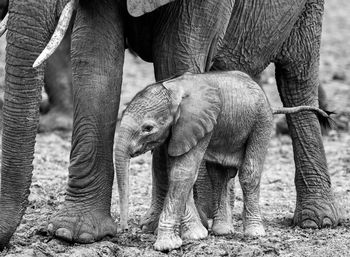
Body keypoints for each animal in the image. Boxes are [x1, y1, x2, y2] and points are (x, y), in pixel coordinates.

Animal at [115, 70, 330, 250]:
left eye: (148, 128)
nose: (123, 230)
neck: (174, 88)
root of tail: (271, 105)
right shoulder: (178, 132)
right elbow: (179, 171)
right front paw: (196, 235)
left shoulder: (197, 125)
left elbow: (183, 171)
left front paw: (166, 246)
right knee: (219, 175)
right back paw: (222, 231)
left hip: (261, 122)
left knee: (249, 173)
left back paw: (254, 233)